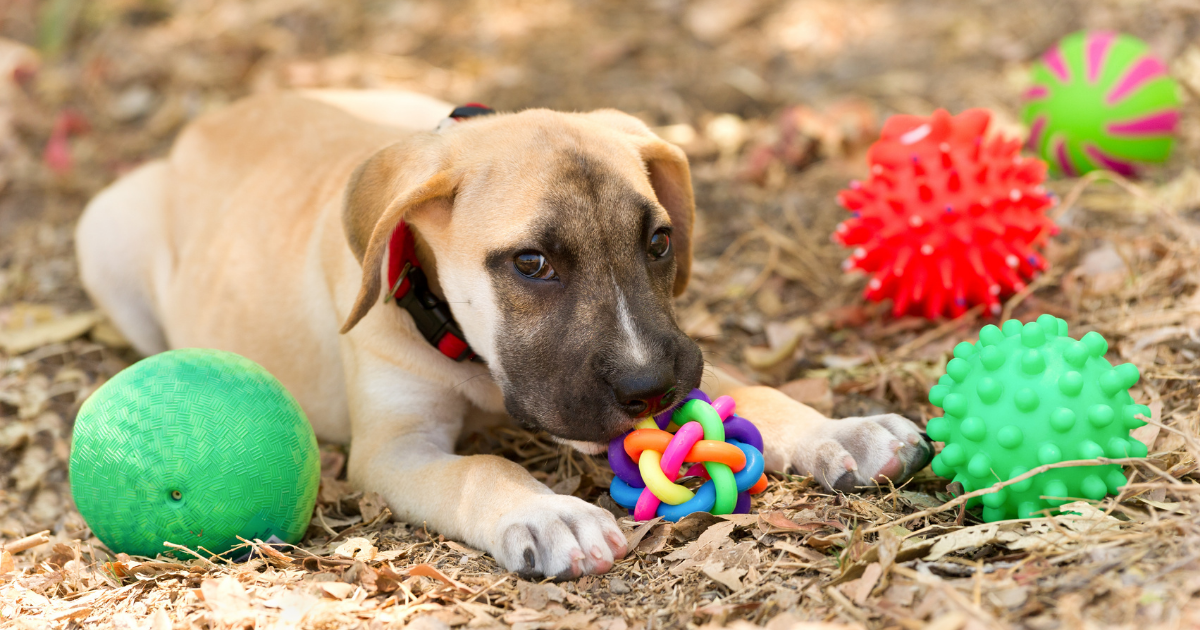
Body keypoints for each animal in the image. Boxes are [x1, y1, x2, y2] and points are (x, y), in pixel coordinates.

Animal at [77, 90, 936, 578]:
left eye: (659, 241)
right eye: (531, 264)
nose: (650, 389)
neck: (470, 351)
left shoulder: (686, 358)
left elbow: (754, 389)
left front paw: (843, 431)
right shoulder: (393, 451)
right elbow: (481, 469)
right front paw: (551, 516)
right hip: (104, 232)